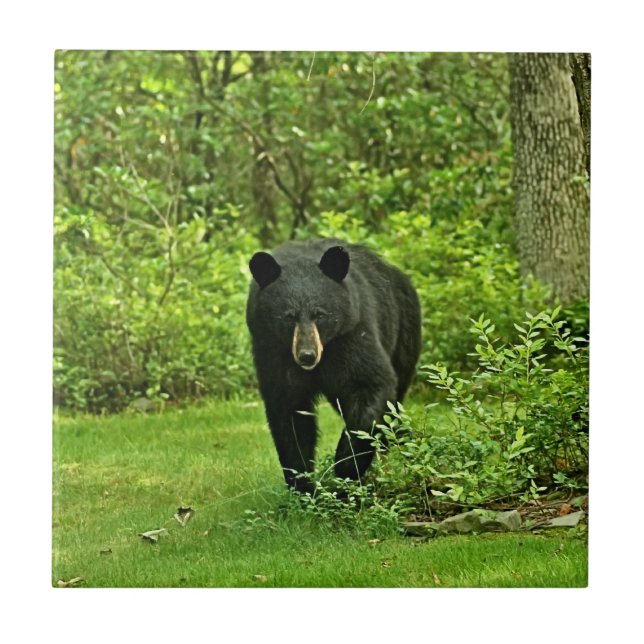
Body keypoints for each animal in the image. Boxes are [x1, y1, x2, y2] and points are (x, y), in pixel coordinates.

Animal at [246, 238, 421, 493]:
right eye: (289, 316)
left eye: (320, 314)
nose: (307, 356)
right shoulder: (272, 350)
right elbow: (288, 412)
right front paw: (303, 485)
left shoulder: (352, 335)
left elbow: (371, 384)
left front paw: (345, 468)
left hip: (403, 334)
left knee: (393, 404)